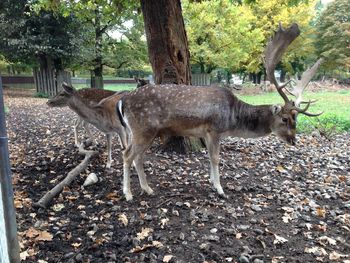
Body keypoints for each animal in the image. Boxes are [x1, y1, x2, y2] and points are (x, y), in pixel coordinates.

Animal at [116, 23, 322, 201]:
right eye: (285, 118)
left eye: (296, 118)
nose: (293, 140)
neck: (233, 118)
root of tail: (123, 101)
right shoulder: (214, 129)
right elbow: (216, 158)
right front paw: (220, 189)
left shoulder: (206, 133)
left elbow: (209, 157)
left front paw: (211, 181)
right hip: (143, 128)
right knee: (128, 155)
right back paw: (128, 193)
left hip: (141, 132)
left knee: (137, 157)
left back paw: (147, 189)